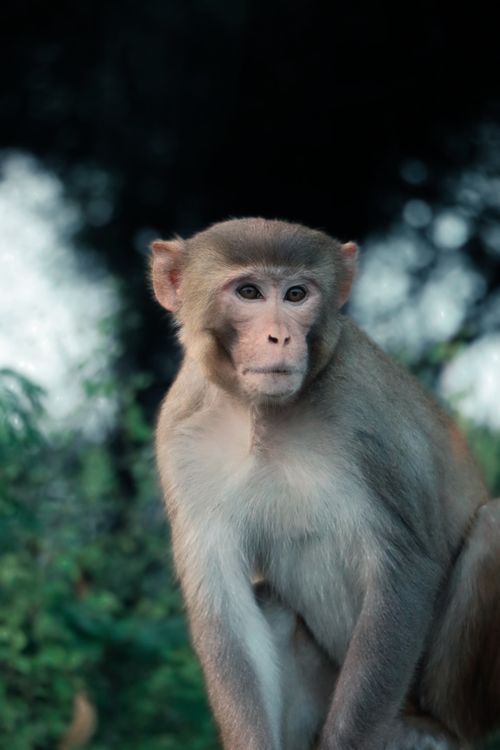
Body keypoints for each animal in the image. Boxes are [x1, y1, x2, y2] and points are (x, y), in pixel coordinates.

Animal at [150, 217, 499, 750]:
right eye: (249, 292)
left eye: (296, 294)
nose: (279, 336)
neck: (264, 415)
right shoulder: (181, 436)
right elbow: (224, 604)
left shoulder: (367, 414)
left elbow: (406, 567)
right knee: (270, 605)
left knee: (493, 526)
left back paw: (433, 723)